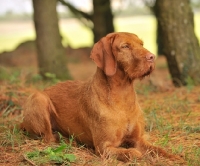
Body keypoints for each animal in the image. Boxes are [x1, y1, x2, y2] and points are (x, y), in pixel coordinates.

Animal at [21, 32, 182, 162]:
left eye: (141, 44)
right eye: (125, 46)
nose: (152, 57)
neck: (123, 96)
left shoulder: (138, 139)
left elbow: (157, 149)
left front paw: (173, 157)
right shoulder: (104, 147)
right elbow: (132, 152)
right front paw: (140, 156)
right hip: (39, 98)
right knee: (48, 138)